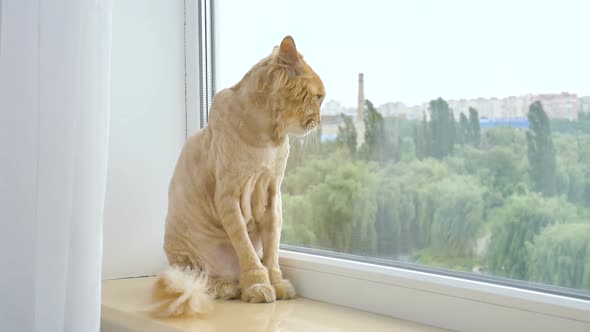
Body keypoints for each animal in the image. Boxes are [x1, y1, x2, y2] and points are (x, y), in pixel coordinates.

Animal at [153, 35, 326, 316]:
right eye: (319, 96)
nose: (320, 121)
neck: (267, 139)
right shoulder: (228, 197)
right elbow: (247, 251)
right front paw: (258, 285)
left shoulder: (273, 197)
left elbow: (272, 251)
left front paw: (277, 283)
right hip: (182, 253)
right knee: (199, 281)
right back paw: (226, 286)